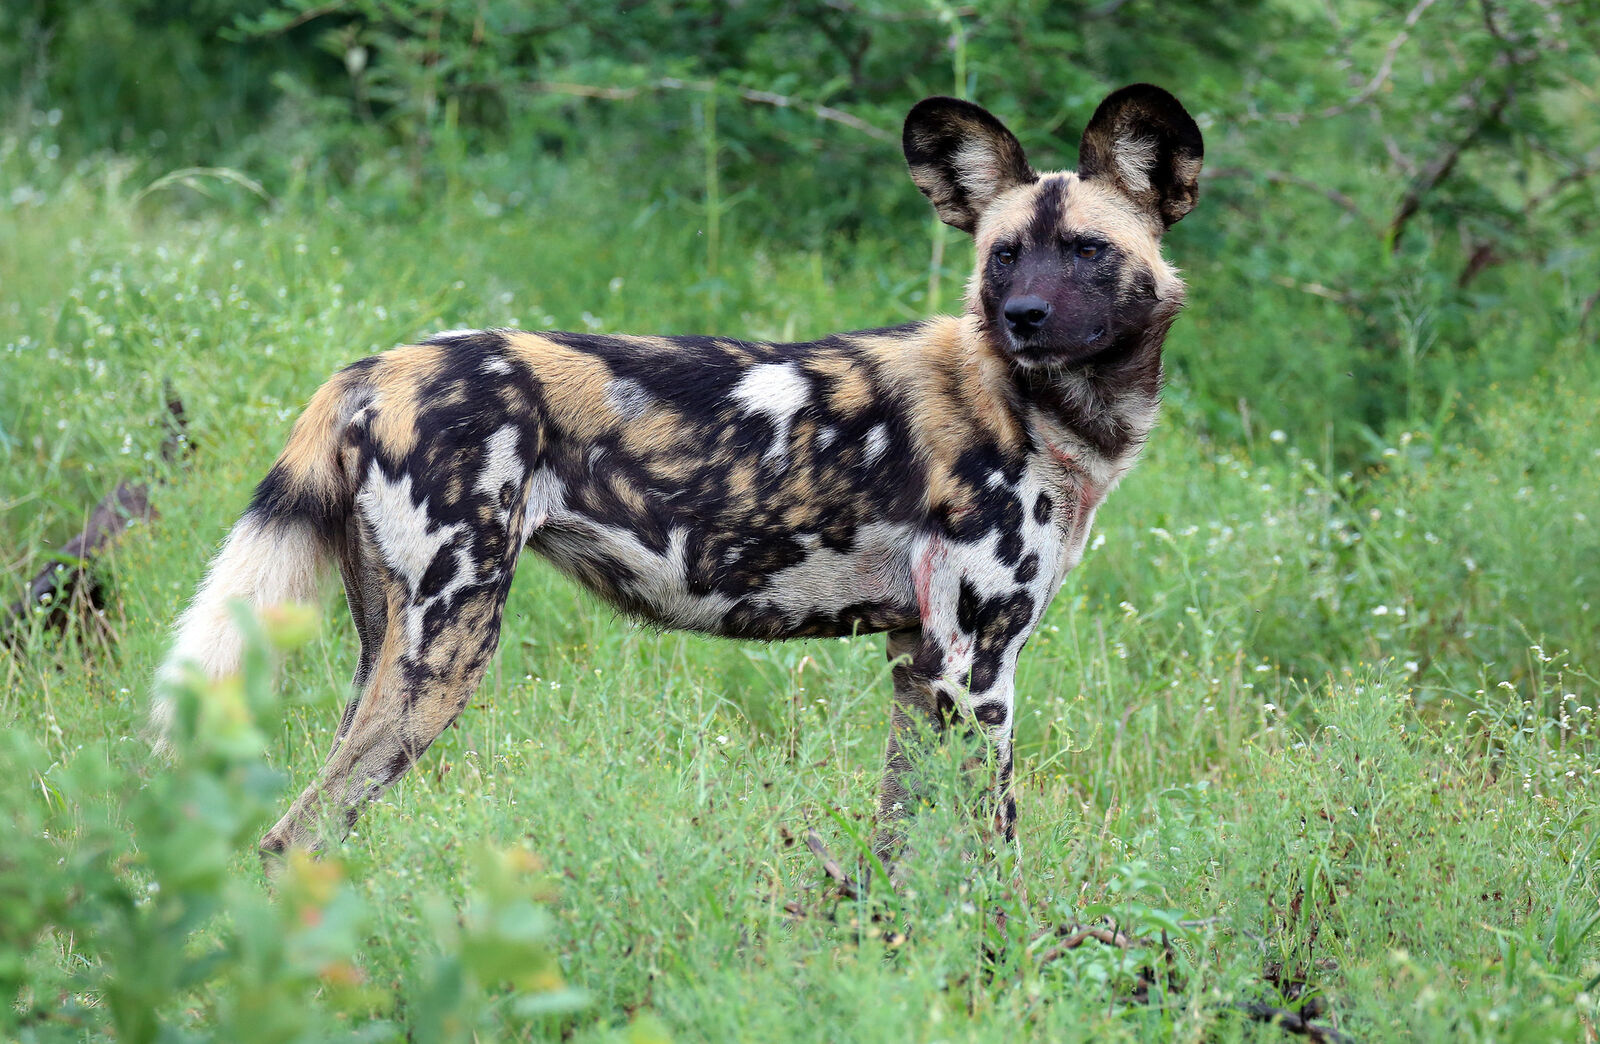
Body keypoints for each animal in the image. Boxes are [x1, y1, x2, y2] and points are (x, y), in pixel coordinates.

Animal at [156, 85, 1203, 858]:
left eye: (1087, 250)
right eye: (1003, 255)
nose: (1022, 316)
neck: (1037, 409)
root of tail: (374, 367)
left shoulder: (918, 661)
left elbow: (898, 845)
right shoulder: (975, 668)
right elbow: (993, 847)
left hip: (387, 648)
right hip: (447, 647)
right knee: (295, 833)